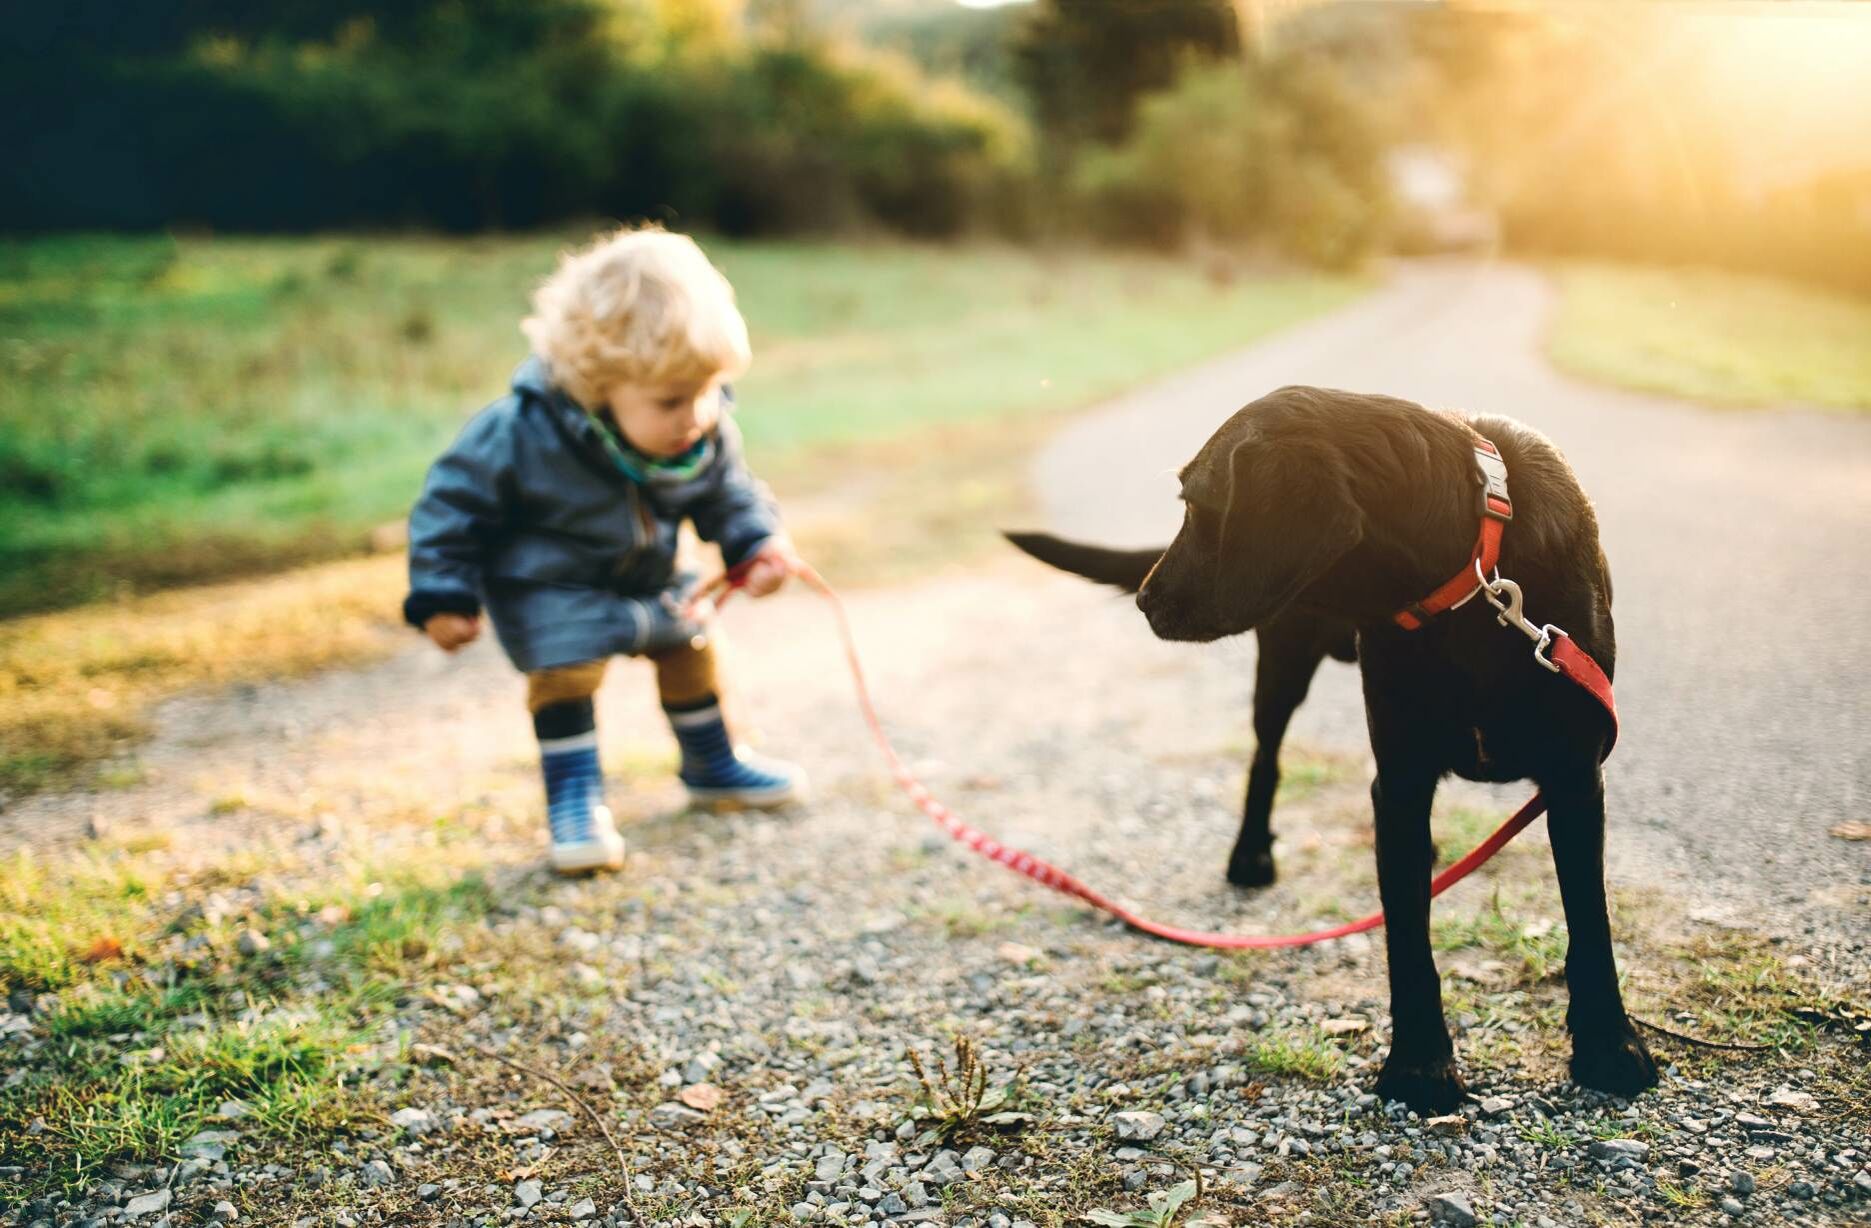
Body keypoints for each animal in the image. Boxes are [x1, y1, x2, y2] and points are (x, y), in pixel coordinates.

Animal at [1025, 385, 1653, 1115]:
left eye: (1195, 503)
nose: (1146, 601)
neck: (1468, 578)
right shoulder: (1400, 782)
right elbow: (1408, 936)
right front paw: (1419, 1063)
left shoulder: (1575, 777)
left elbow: (1589, 922)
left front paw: (1609, 1046)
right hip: (1281, 663)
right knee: (1264, 759)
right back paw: (1250, 855)